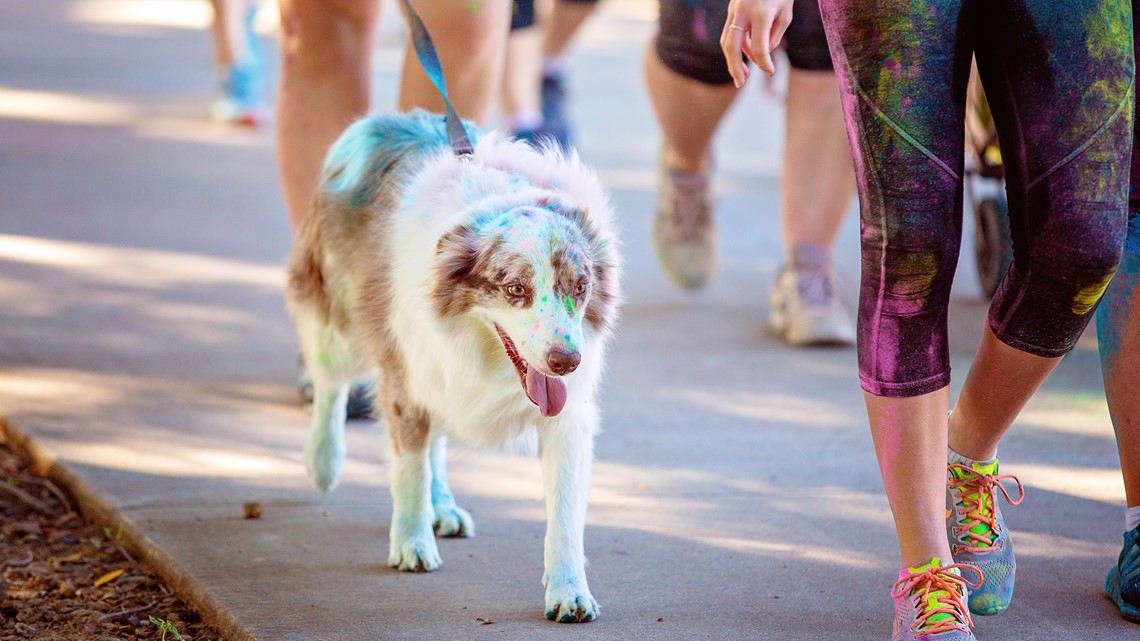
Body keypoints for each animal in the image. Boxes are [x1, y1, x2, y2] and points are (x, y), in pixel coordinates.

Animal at [285, 109, 624, 620]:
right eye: (515, 289)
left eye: (580, 286)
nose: (566, 362)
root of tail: (382, 119)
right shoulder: (406, 374)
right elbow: (409, 467)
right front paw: (411, 543)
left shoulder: (565, 418)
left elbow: (565, 513)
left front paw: (569, 592)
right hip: (336, 312)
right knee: (330, 380)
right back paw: (324, 461)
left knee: (436, 440)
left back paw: (441, 507)